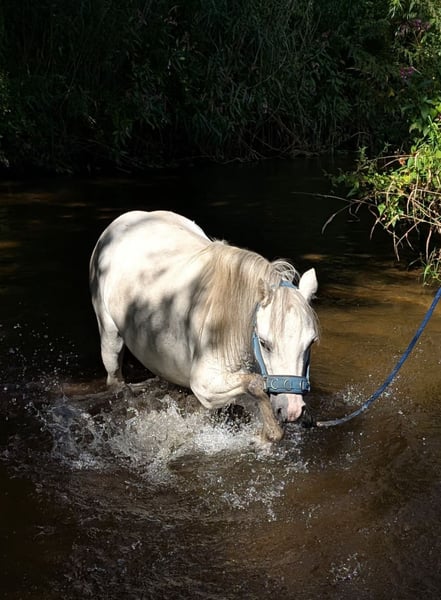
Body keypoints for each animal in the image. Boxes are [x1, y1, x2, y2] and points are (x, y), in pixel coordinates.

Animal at [89, 210, 319, 442]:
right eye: (264, 343)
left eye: (310, 343)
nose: (293, 409)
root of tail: (125, 219)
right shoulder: (205, 385)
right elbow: (255, 384)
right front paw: (271, 430)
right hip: (110, 338)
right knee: (116, 381)